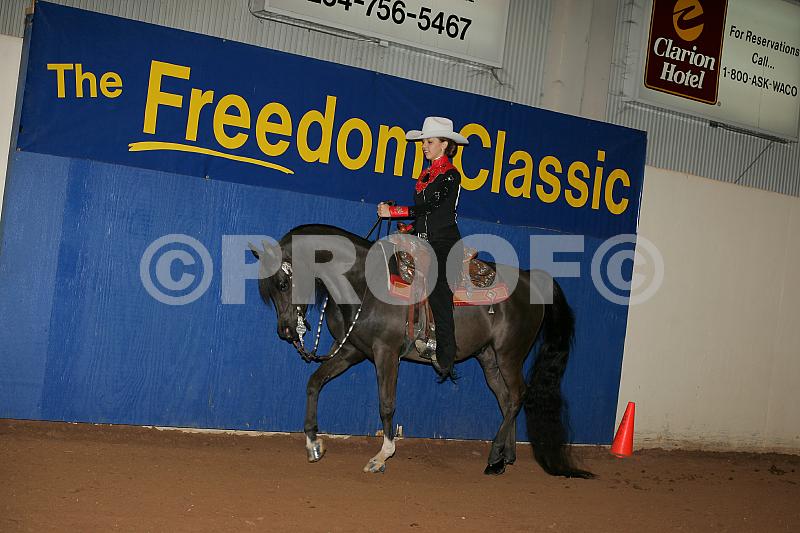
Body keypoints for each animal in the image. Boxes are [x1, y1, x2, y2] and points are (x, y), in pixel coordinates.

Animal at [249, 224, 592, 478]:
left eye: (282, 284)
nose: (286, 331)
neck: (364, 283)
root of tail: (532, 279)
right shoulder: (351, 351)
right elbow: (314, 383)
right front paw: (313, 443)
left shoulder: (386, 353)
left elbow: (386, 404)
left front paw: (382, 456)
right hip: (489, 358)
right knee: (506, 399)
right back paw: (503, 457)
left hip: (510, 354)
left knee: (519, 394)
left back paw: (495, 455)